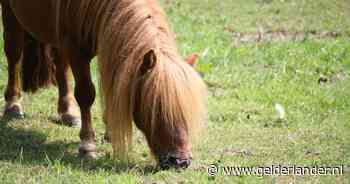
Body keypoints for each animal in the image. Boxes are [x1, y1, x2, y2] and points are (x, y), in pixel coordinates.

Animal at [1, 0, 206, 170]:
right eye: (156, 110)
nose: (179, 162)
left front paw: (110, 132)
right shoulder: (77, 51)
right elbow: (86, 94)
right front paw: (87, 146)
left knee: (61, 67)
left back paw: (68, 113)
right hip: (11, 15)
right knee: (14, 54)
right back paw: (13, 105)